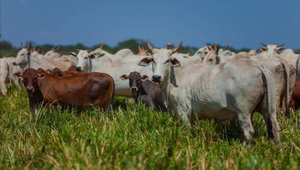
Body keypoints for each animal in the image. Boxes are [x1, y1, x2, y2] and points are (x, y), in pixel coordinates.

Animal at [138, 40, 282, 145]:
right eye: (152, 60)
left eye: (167, 60)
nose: (156, 77)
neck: (177, 73)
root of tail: (257, 65)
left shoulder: (182, 111)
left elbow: (186, 131)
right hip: (268, 109)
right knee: (275, 129)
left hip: (243, 112)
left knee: (249, 132)